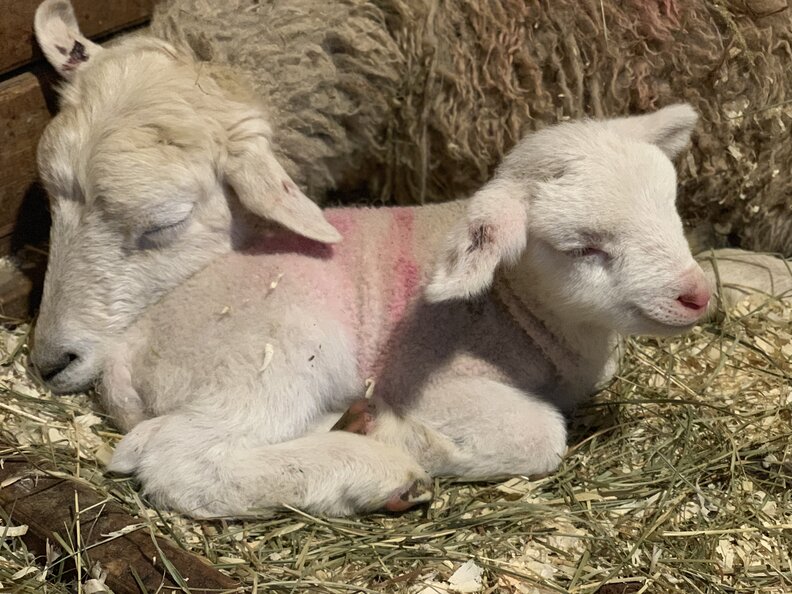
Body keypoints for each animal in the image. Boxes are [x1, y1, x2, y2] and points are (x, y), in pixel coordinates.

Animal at [31, 1, 791, 518]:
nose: (696, 295)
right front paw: (409, 434)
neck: (520, 311)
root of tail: (126, 354)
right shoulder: (442, 379)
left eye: (671, 209)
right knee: (175, 458)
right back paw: (371, 466)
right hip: (273, 354)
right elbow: (540, 434)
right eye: (583, 248)